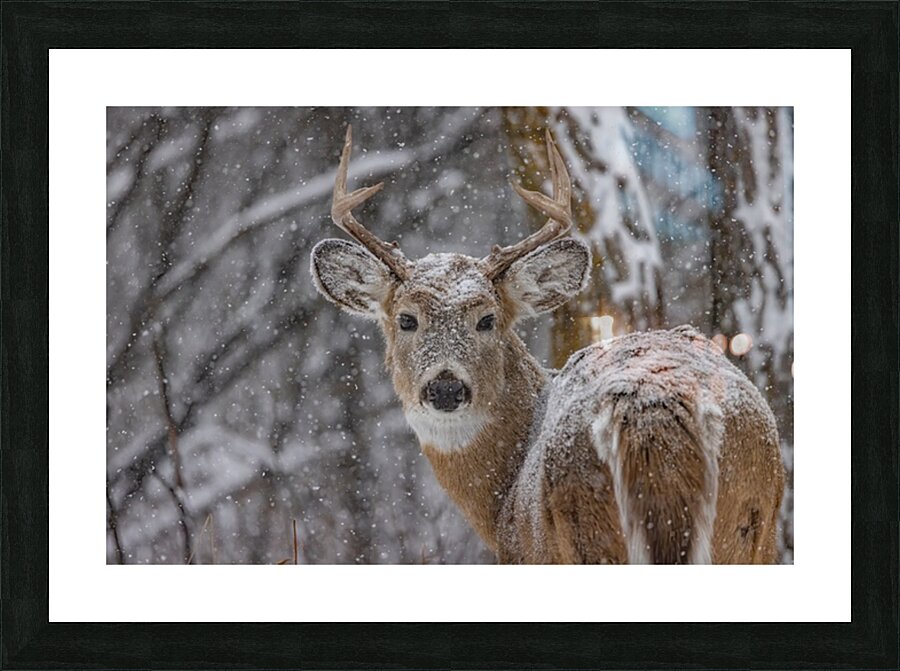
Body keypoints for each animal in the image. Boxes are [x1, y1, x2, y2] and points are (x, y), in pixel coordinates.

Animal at [310, 125, 785, 564]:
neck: (502, 491)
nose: (446, 387)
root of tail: (653, 412)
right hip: (753, 515)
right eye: (406, 319)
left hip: (588, 523)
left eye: (487, 319)